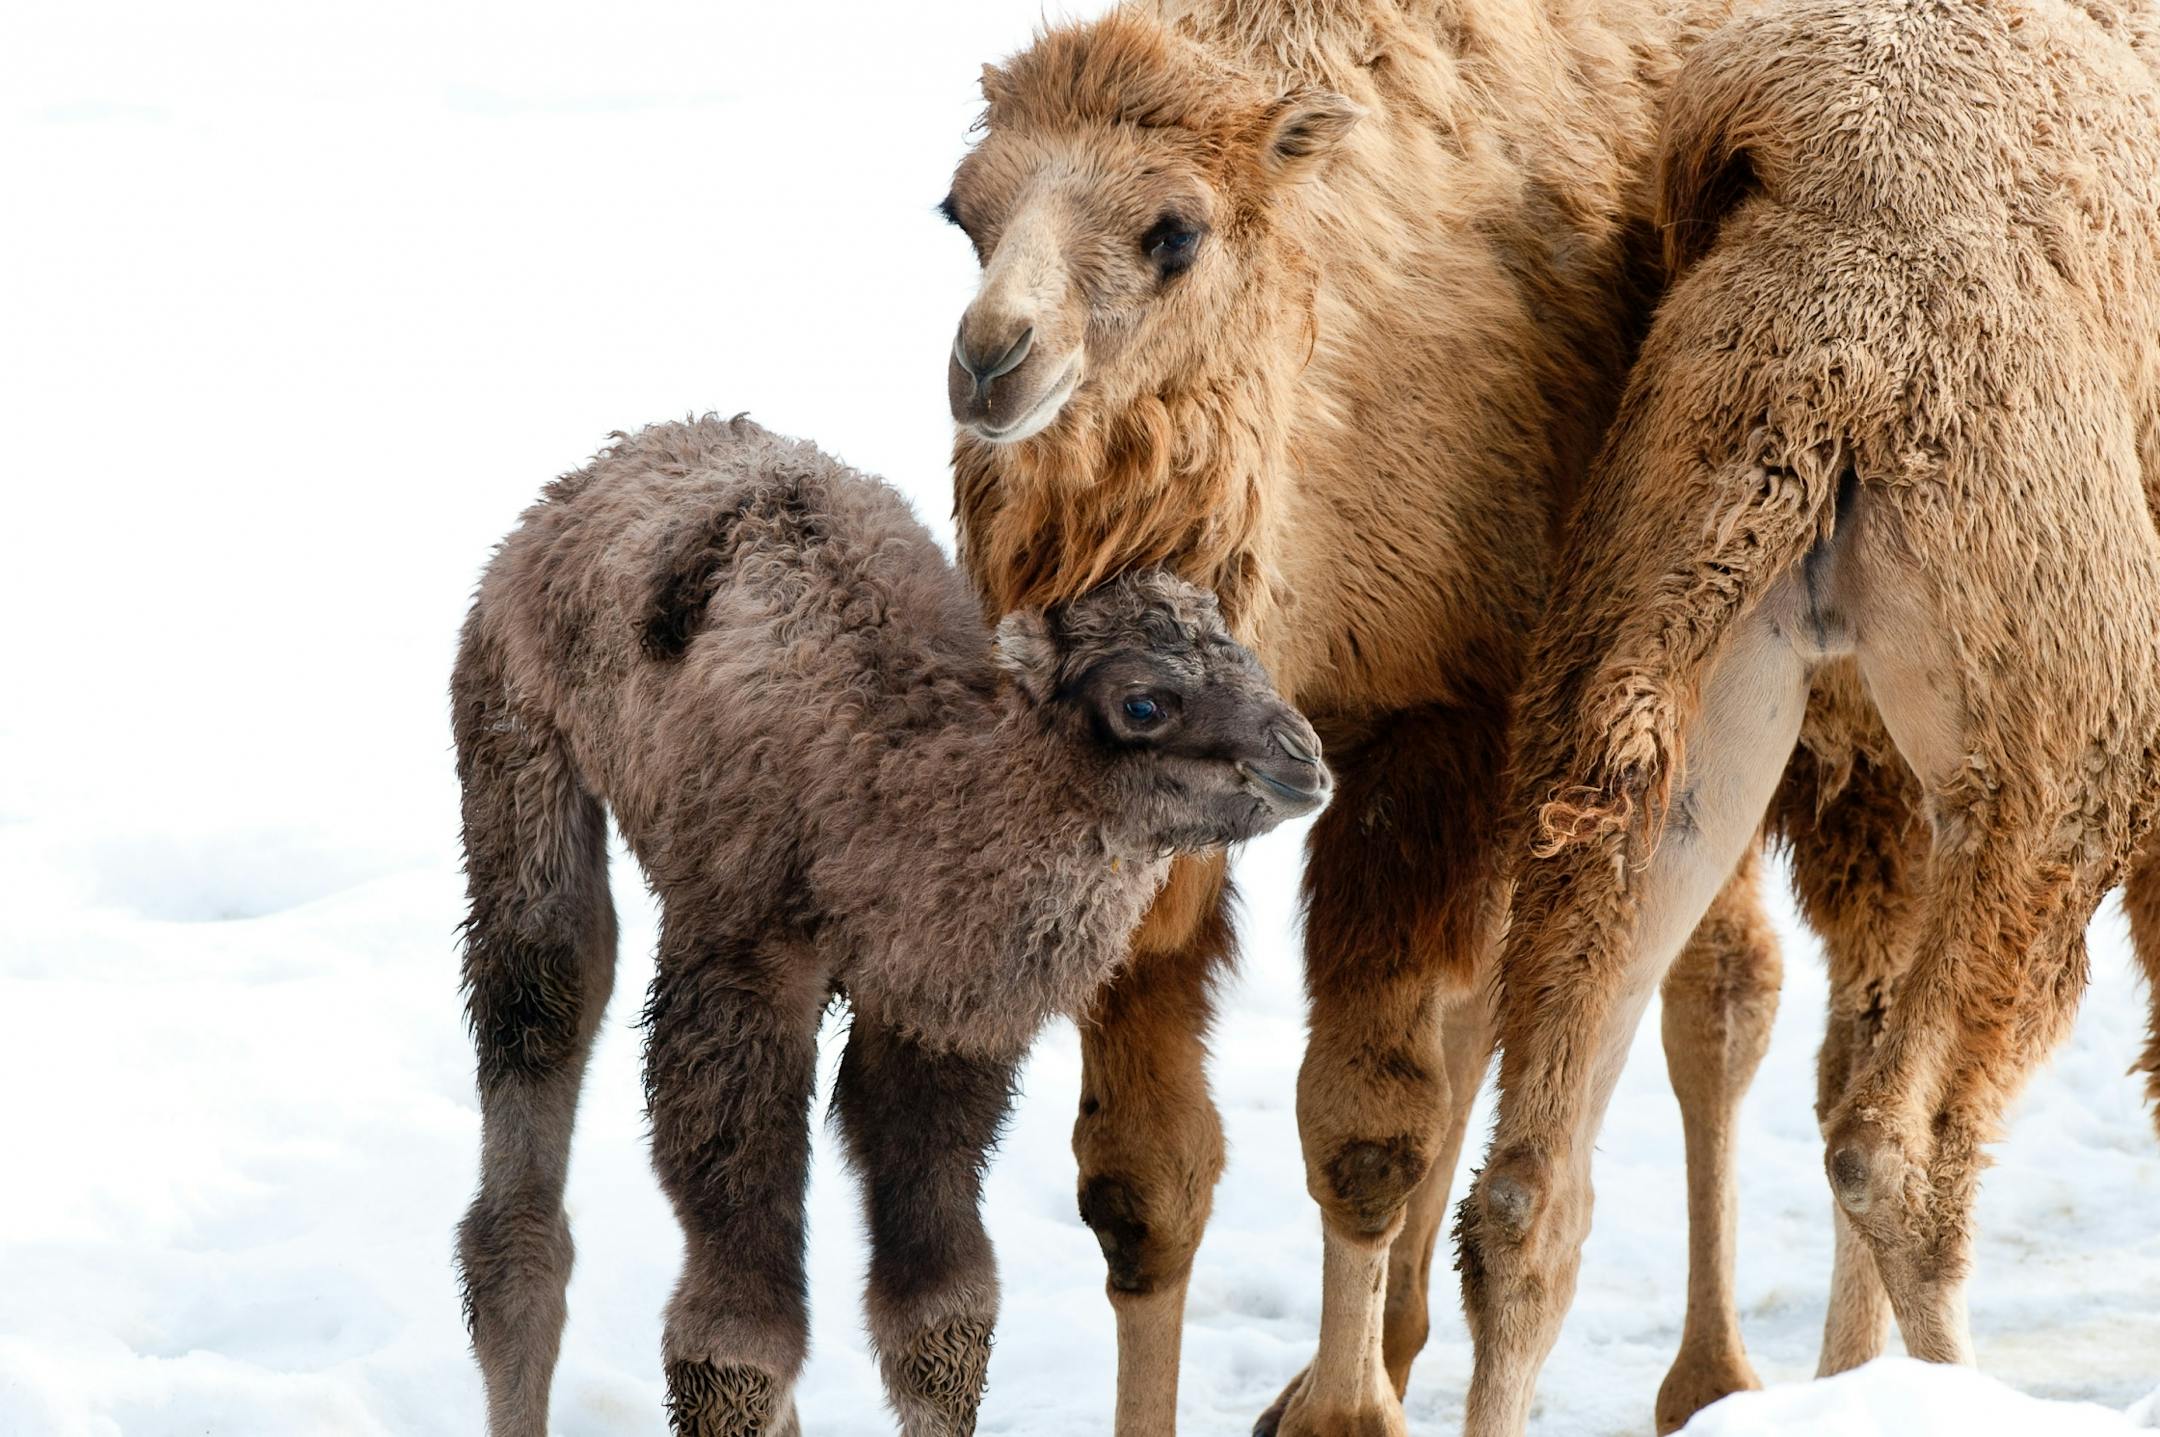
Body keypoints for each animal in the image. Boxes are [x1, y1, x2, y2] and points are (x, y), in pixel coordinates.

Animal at [449, 416, 1327, 1436]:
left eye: (1250, 656)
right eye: (1143, 702)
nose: (1301, 760)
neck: (886, 791)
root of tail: (563, 497)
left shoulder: (932, 1020)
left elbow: (940, 1311)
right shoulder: (739, 957)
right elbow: (735, 1333)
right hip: (513, 726)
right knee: (544, 1006)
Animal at [937, 3, 1773, 1432]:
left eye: (1174, 230)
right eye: (960, 212)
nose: (993, 358)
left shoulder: (1438, 718)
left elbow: (1363, 1131)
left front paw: (1347, 1412)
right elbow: (1140, 1183)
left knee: (1710, 986)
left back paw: (1715, 1376)